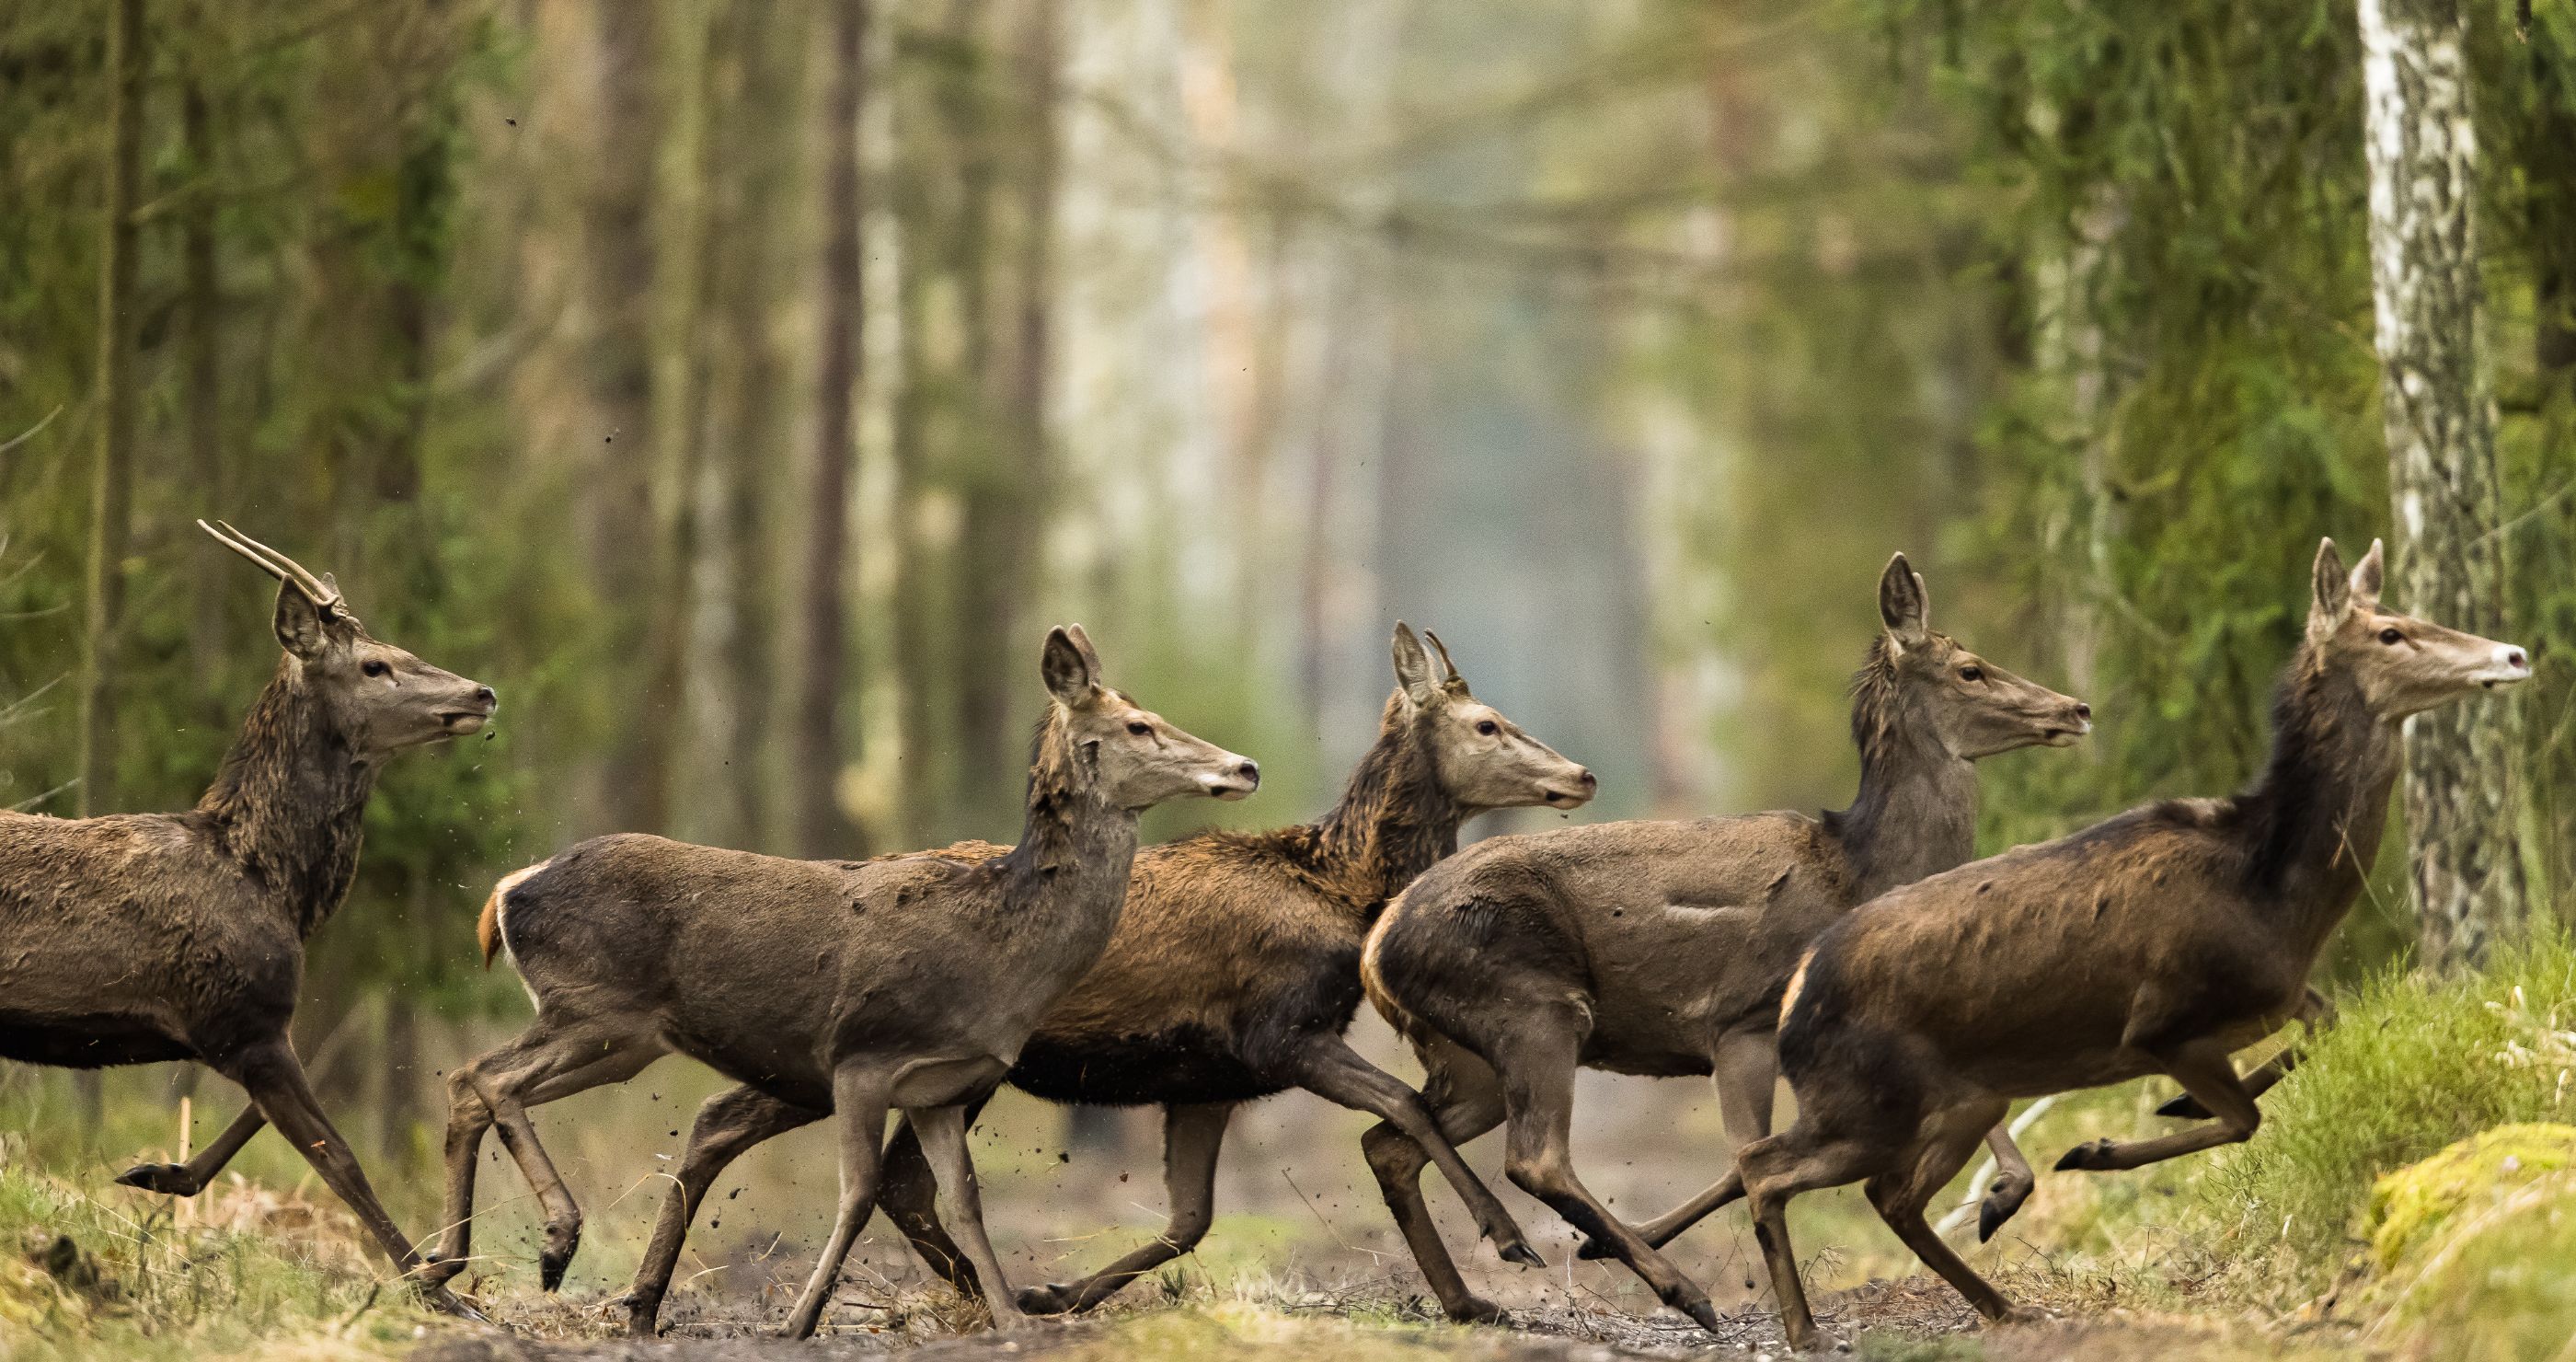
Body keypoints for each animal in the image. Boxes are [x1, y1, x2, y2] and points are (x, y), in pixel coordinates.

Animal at [2, 522, 496, 1305]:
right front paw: (435, 1283)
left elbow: (261, 1125)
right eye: (374, 664)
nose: (483, 692)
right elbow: (340, 1157)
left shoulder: (246, 1025)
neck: (277, 885)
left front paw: (159, 1172)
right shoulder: (240, 1018)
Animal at [423, 626, 1260, 1339]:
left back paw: (444, 1271)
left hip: (622, 1038)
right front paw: (797, 1321)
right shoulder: (864, 1056)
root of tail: (508, 891)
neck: (1000, 957)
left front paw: (1013, 1320)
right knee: (487, 1076)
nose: (1244, 766)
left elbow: (964, 1201)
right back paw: (551, 1242)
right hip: (593, 1006)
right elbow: (858, 1193)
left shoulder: (941, 1086)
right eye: (1139, 726)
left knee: (472, 1084)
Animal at [860, 622, 1594, 1319]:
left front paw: (1059, 1292)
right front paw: (1504, 1240)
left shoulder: (1208, 1079)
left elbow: (1190, 1219)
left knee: (904, 1185)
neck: (1345, 892)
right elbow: (1404, 1102)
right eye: (1486, 723)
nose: (1583, 774)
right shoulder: (1278, 1034)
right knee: (907, 1184)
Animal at [1357, 553, 2091, 1329]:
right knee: (1535, 1157)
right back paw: (1679, 1290)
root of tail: (1375, 950)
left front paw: (2002, 1197)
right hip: (1531, 1006)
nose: (2076, 708)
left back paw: (1473, 1299)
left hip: (1468, 1054)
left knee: (1393, 1141)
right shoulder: (1740, 1020)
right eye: (1970, 669)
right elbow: (1748, 1157)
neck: (1858, 872)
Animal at [1735, 538, 2529, 1352]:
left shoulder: (2281, 997)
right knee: (1765, 1166)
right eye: (2391, 632)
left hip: (1965, 1096)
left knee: (1888, 1195)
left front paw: (2172, 1108)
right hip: (1868, 1099)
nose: (2514, 653)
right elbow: (2244, 1119)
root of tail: (1797, 987)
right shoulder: (2161, 1022)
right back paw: (1805, 1328)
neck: (2274, 891)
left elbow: (2323, 1027)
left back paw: (2003, 1304)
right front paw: (2100, 1149)